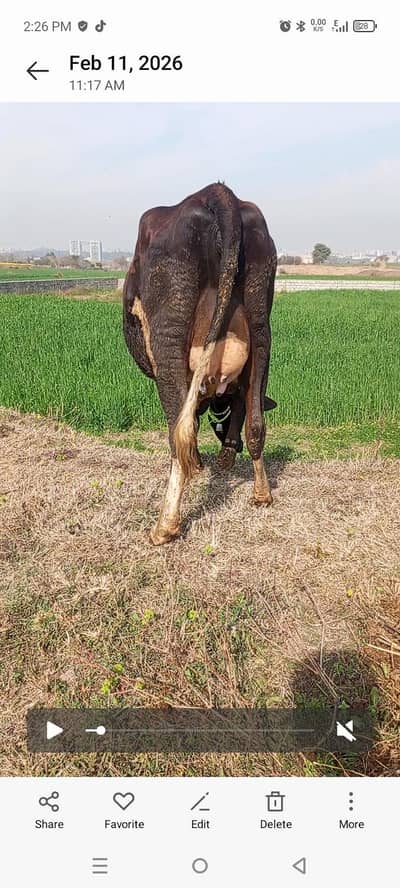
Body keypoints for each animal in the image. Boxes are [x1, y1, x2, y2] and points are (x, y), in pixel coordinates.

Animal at [123, 182, 277, 545]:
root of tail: (215, 192)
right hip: (261, 325)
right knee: (256, 424)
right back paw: (262, 495)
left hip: (168, 336)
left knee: (180, 432)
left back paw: (165, 526)